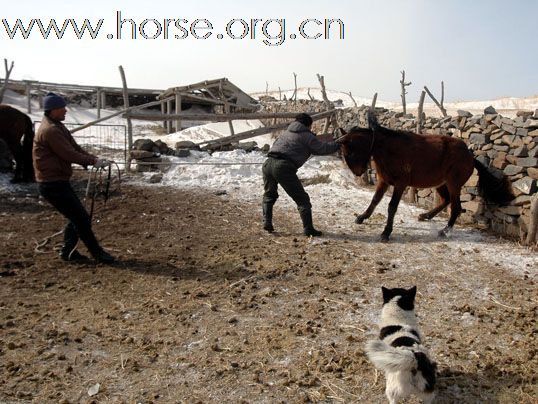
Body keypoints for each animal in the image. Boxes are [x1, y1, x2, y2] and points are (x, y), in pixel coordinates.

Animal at [340, 112, 510, 241]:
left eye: (350, 152)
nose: (358, 172)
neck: (389, 150)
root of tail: (470, 156)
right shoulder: (384, 181)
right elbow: (375, 200)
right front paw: (362, 217)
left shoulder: (400, 184)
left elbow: (392, 206)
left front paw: (386, 232)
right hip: (441, 183)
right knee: (446, 200)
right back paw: (426, 215)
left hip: (453, 184)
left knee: (456, 207)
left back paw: (444, 231)